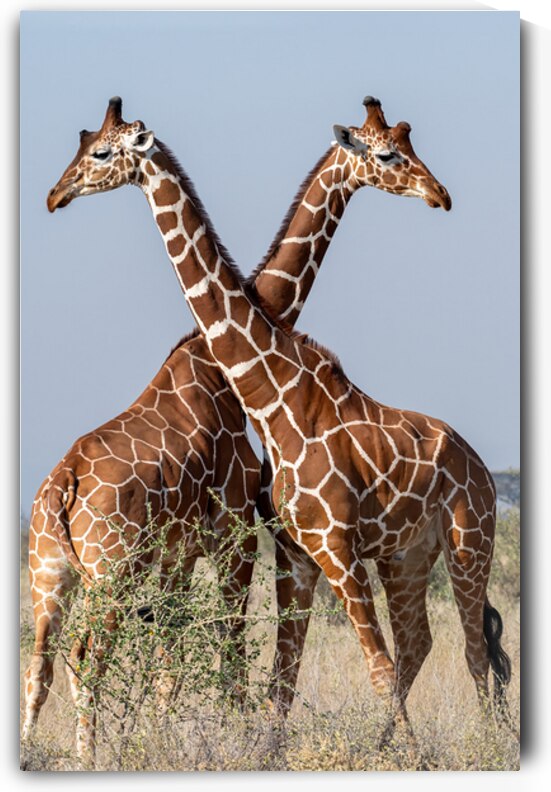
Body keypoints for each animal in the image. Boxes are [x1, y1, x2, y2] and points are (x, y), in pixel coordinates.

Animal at [44, 98, 511, 747]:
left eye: (100, 150)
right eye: (388, 154)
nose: (439, 194)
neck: (267, 396)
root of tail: (479, 464)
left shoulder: (293, 545)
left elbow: (320, 668)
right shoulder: (287, 550)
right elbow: (270, 679)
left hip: (463, 543)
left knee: (468, 650)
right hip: (403, 557)